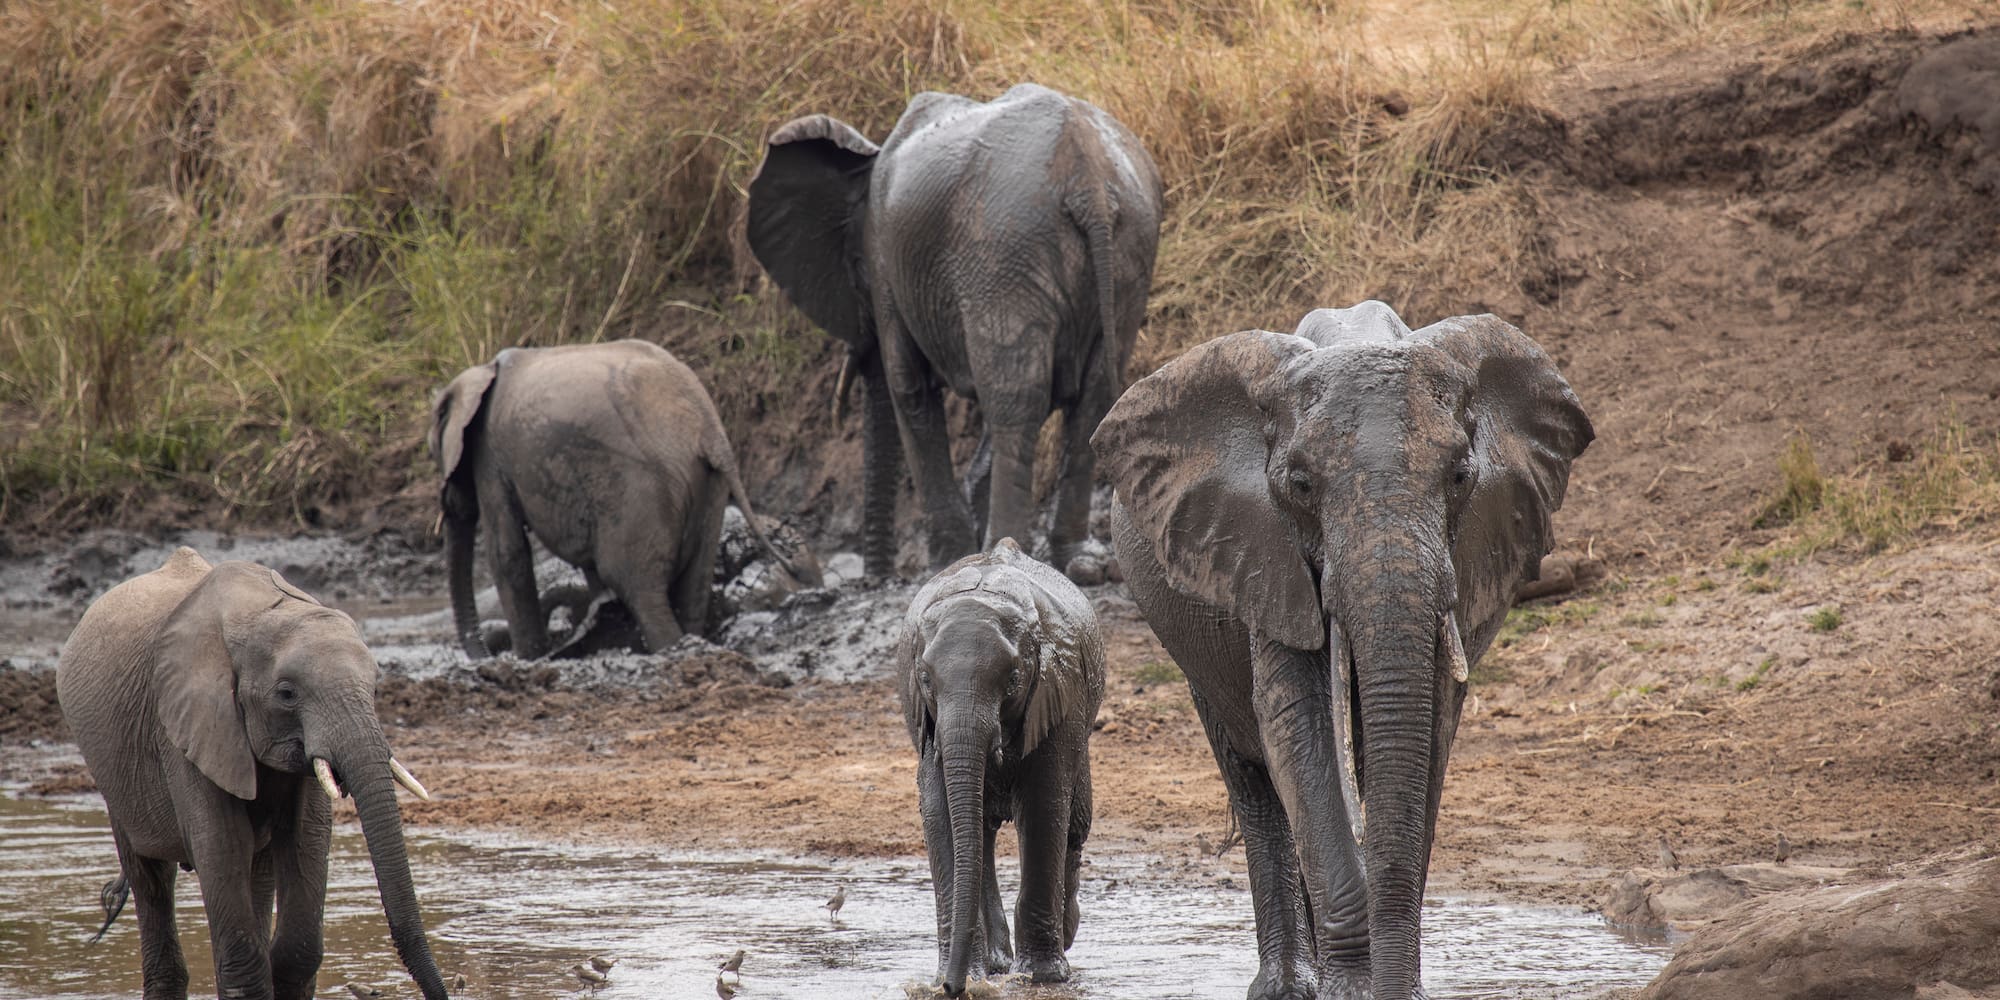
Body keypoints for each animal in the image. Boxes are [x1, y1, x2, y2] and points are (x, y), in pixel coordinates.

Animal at [56, 547, 449, 1000]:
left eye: (376, 688)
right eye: (286, 693)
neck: (262, 612)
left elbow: (304, 849)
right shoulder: (184, 724)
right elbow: (221, 846)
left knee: (256, 873)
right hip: (115, 779)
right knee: (151, 878)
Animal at [430, 338, 812, 660]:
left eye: (435, 454)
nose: (486, 654)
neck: (481, 371)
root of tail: (710, 430)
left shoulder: (489, 455)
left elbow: (507, 555)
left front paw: (530, 661)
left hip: (639, 488)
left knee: (635, 585)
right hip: (708, 485)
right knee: (692, 585)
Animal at [747, 82, 1164, 579]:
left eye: (856, 271)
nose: (876, 579)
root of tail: (1089, 181)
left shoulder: (886, 267)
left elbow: (909, 388)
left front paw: (947, 558)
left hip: (1003, 251)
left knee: (1014, 399)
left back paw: (1003, 550)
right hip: (1127, 250)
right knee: (1092, 396)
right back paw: (1081, 563)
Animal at [896, 538, 1106, 996]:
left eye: (1012, 679)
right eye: (925, 679)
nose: (952, 988)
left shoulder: (1058, 695)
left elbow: (1045, 807)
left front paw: (1044, 977)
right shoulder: (928, 725)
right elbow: (940, 812)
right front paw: (964, 977)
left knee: (1075, 824)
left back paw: (1061, 938)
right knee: (981, 831)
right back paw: (994, 965)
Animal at [1091, 302, 1593, 1000]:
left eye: (1460, 477)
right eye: (1300, 485)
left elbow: (1429, 724)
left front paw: (1397, 988)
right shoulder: (1262, 552)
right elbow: (1296, 725)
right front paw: (1352, 991)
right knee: (1253, 777)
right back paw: (1287, 985)